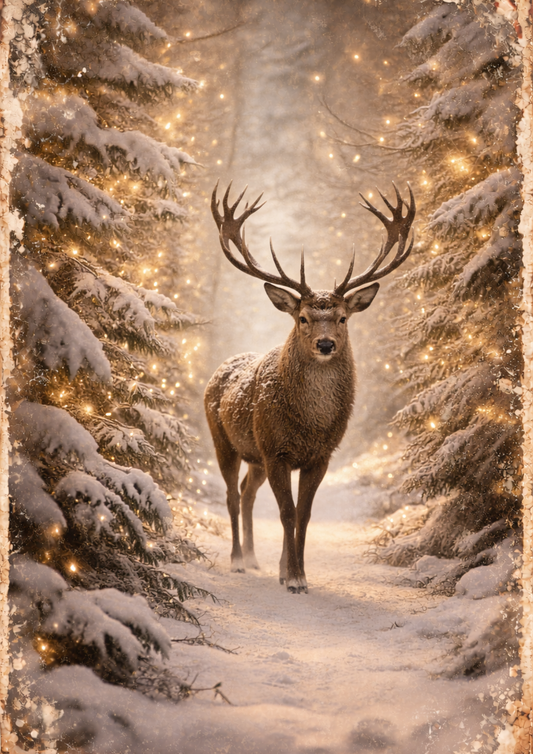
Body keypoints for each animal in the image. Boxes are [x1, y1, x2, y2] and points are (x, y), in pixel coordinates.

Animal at [204, 182, 415, 593]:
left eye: (342, 317)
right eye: (302, 317)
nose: (326, 344)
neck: (310, 425)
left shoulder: (320, 455)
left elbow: (304, 514)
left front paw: (291, 571)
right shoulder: (277, 450)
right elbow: (287, 513)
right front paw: (294, 578)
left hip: (254, 455)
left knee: (246, 492)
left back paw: (253, 558)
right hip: (224, 440)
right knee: (232, 496)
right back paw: (237, 560)